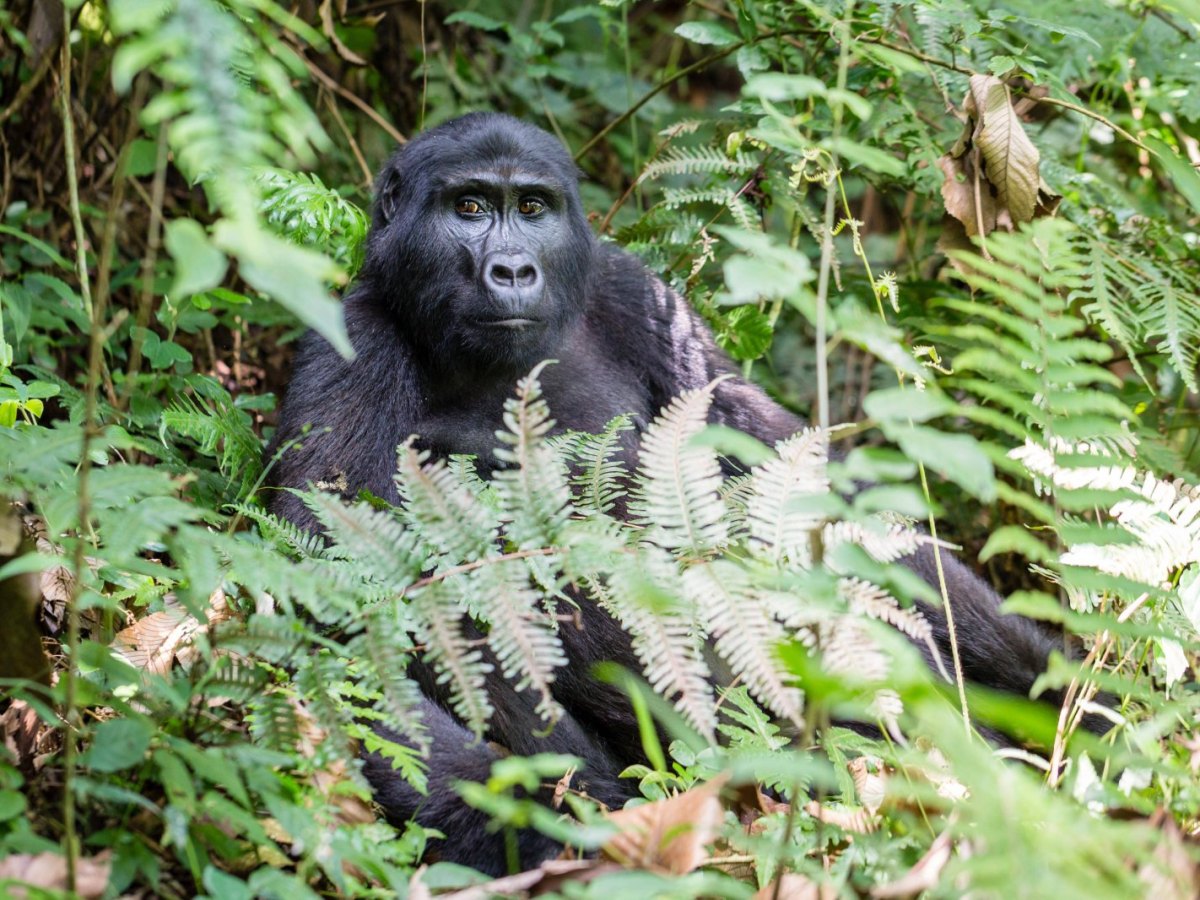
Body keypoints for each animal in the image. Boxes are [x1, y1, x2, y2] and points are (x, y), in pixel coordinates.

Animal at [272, 111, 1070, 873]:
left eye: (531, 207)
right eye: (468, 207)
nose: (513, 269)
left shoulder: (636, 292)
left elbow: (792, 477)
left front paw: (1055, 684)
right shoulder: (352, 339)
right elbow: (337, 617)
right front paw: (542, 840)